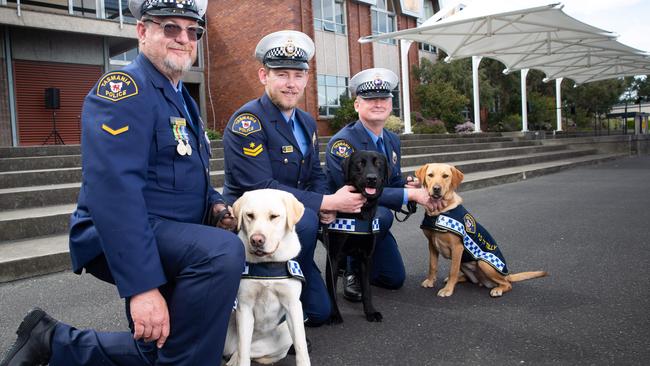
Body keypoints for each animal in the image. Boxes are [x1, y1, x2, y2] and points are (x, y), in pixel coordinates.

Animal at [224, 190, 310, 364]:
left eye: (274, 216)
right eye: (250, 215)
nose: (257, 240)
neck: (267, 264)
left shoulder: (293, 305)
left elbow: (301, 346)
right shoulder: (244, 307)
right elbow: (243, 353)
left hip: (283, 336)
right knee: (239, 352)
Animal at [322, 150, 388, 322]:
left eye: (378, 163)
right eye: (360, 163)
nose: (372, 178)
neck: (362, 212)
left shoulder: (366, 257)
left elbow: (367, 289)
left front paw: (370, 312)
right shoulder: (333, 256)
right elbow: (331, 289)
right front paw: (334, 314)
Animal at [412, 164, 544, 298]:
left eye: (445, 176)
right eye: (430, 175)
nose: (436, 189)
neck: (439, 212)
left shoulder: (457, 247)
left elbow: (453, 270)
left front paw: (448, 290)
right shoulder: (432, 244)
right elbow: (432, 265)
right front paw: (430, 281)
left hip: (483, 263)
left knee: (506, 283)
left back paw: (498, 289)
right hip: (465, 264)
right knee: (469, 279)